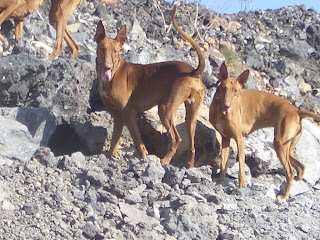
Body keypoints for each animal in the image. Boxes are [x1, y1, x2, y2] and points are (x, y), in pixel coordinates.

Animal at [95, 4, 205, 168]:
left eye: (115, 52)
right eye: (102, 49)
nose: (107, 67)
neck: (114, 73)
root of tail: (193, 72)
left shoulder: (128, 112)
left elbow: (137, 139)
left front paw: (143, 156)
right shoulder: (118, 115)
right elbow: (114, 140)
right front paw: (110, 157)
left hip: (164, 109)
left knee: (176, 138)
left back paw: (165, 160)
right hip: (191, 115)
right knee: (191, 145)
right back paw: (189, 165)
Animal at [209, 62, 320, 201]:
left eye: (236, 91)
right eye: (224, 88)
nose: (226, 105)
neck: (220, 112)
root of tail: (296, 111)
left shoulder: (240, 140)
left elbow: (241, 166)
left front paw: (242, 185)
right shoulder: (225, 139)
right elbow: (223, 164)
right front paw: (219, 183)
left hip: (279, 144)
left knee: (290, 172)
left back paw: (284, 197)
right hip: (288, 148)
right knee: (301, 167)